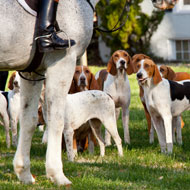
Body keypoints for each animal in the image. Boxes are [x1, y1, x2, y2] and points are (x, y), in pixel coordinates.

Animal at [0, 0, 99, 186]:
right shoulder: (62, 62)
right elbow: (56, 120)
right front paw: (57, 175)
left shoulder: (32, 72)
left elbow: (29, 121)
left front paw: (24, 173)